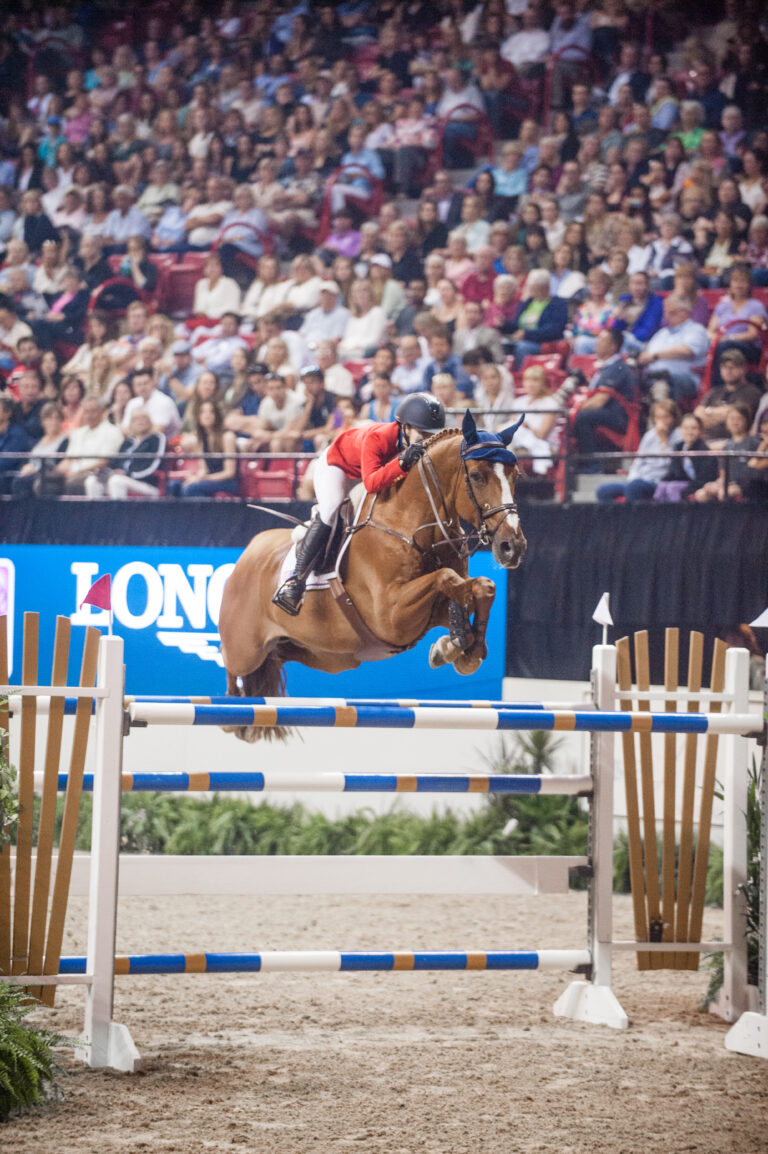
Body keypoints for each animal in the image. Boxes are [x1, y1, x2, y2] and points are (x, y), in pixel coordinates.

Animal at [218, 411, 527, 741]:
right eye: (478, 476)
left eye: (516, 476)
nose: (512, 547)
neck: (413, 526)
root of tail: (248, 553)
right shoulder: (391, 616)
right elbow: (447, 579)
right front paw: (456, 645)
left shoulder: (428, 610)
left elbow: (481, 587)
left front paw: (462, 649)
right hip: (245, 648)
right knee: (231, 662)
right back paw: (232, 715)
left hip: (320, 653)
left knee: (275, 658)